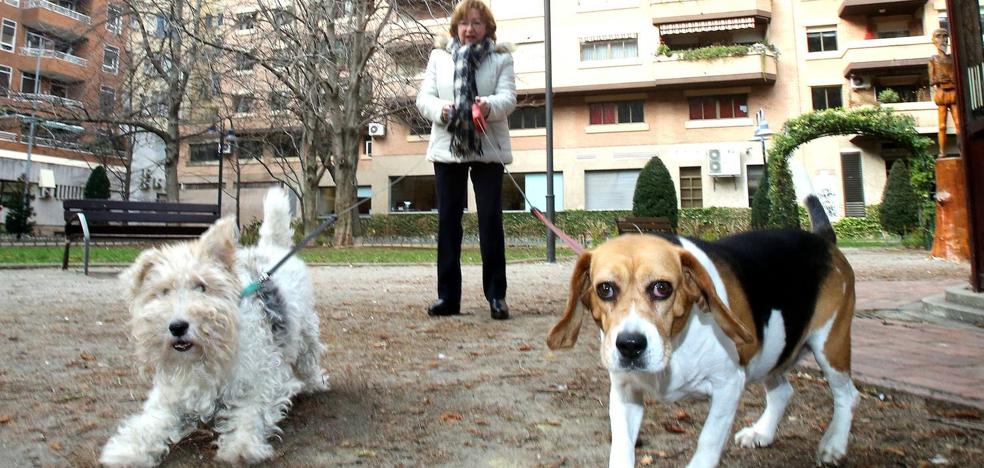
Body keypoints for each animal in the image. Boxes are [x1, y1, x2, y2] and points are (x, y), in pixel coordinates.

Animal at [102, 188, 328, 466]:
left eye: (202, 286)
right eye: (163, 291)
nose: (177, 326)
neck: (206, 357)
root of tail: (272, 247)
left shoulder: (261, 380)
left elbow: (249, 414)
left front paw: (241, 446)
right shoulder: (173, 395)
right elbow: (149, 424)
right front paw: (126, 450)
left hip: (306, 331)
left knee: (309, 359)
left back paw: (315, 382)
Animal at [548, 197, 856, 468]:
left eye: (662, 287)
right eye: (605, 289)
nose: (630, 345)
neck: (675, 345)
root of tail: (823, 240)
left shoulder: (729, 385)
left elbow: (708, 441)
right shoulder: (625, 391)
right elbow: (622, 449)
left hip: (830, 346)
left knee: (847, 395)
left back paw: (834, 446)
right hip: (770, 351)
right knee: (783, 391)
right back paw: (762, 433)